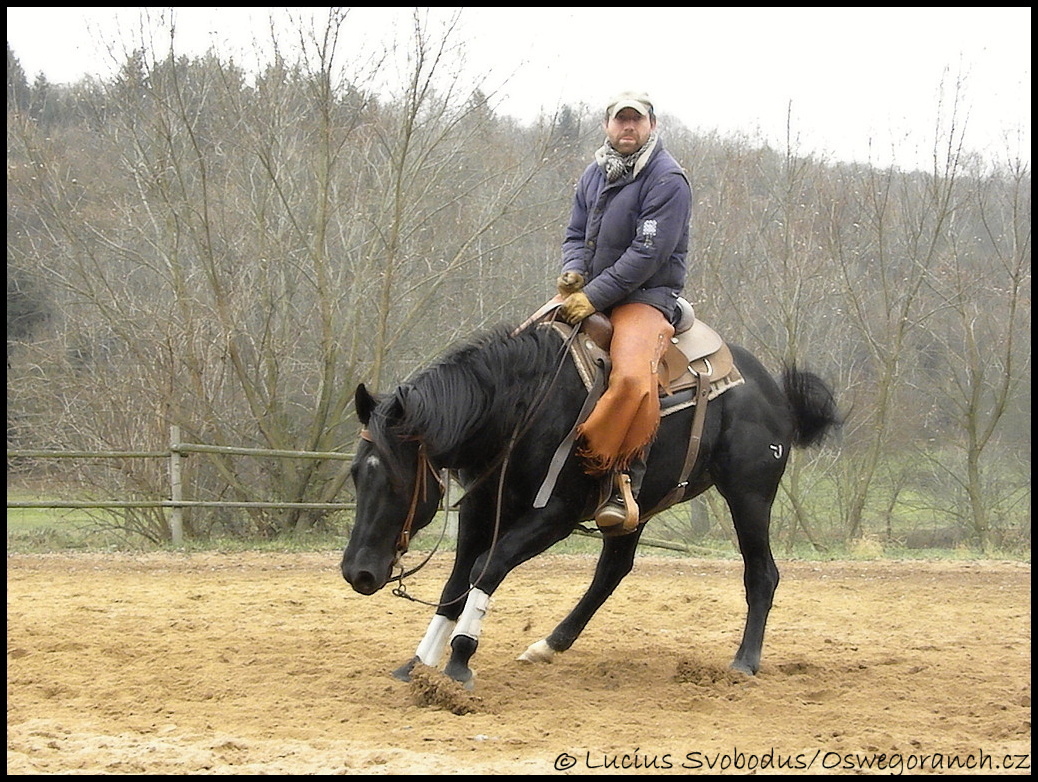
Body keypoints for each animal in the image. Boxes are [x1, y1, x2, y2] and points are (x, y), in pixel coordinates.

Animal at [344, 313, 838, 685]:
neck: (521, 407)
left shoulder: (554, 515)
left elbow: (488, 567)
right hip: (637, 506)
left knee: (762, 574)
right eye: (355, 474)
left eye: (395, 478)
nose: (356, 572)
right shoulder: (482, 508)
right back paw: (548, 645)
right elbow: (455, 584)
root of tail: (773, 390)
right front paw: (419, 661)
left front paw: (461, 659)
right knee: (612, 571)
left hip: (750, 497)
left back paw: (744, 662)